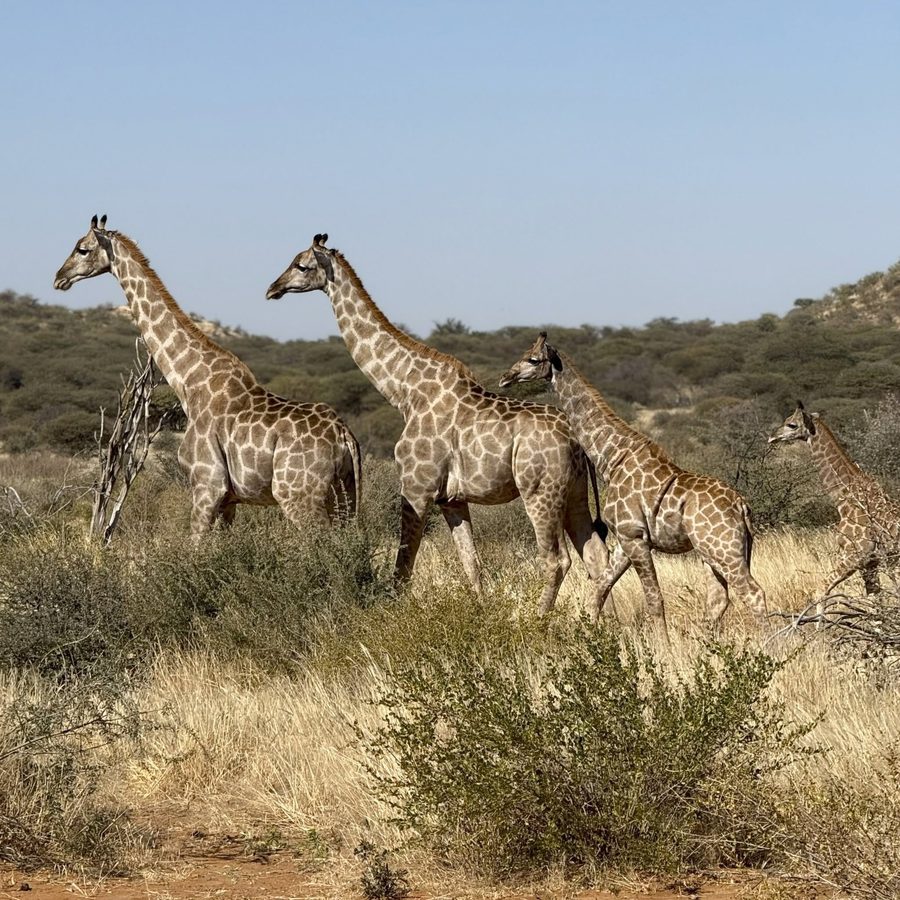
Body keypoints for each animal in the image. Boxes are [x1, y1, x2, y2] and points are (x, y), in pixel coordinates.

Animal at [54, 216, 360, 536]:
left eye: (82, 249)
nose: (59, 278)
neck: (189, 381)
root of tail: (344, 436)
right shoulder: (228, 500)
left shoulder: (207, 486)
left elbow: (194, 544)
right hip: (345, 496)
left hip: (299, 497)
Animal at [265, 234, 610, 614]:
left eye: (301, 265)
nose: (272, 288)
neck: (404, 391)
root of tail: (576, 441)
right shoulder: (451, 499)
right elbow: (473, 566)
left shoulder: (417, 487)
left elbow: (403, 568)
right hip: (575, 492)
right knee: (596, 557)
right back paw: (590, 620)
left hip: (539, 492)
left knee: (556, 559)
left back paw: (538, 620)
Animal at [499, 333, 768, 630]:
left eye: (533, 359)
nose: (506, 377)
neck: (613, 459)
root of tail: (742, 507)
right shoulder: (625, 540)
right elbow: (600, 589)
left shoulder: (635, 537)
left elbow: (654, 601)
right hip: (715, 552)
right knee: (719, 600)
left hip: (724, 550)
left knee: (753, 594)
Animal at [769, 401, 900, 600]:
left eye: (791, 424)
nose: (772, 437)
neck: (844, 501)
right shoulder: (870, 563)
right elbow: (875, 598)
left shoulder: (855, 555)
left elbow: (821, 590)